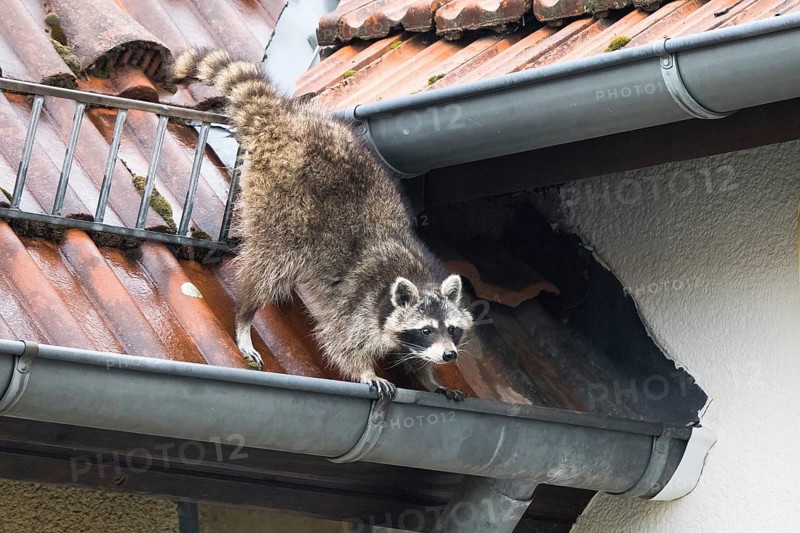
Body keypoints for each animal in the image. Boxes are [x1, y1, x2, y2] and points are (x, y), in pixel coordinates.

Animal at [173, 49, 474, 400]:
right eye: (426, 329)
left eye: (452, 329)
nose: (449, 355)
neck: (417, 276)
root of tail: (282, 122)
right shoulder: (358, 302)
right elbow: (340, 340)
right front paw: (366, 371)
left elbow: (413, 357)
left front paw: (429, 377)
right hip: (281, 201)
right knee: (269, 265)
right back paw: (245, 316)